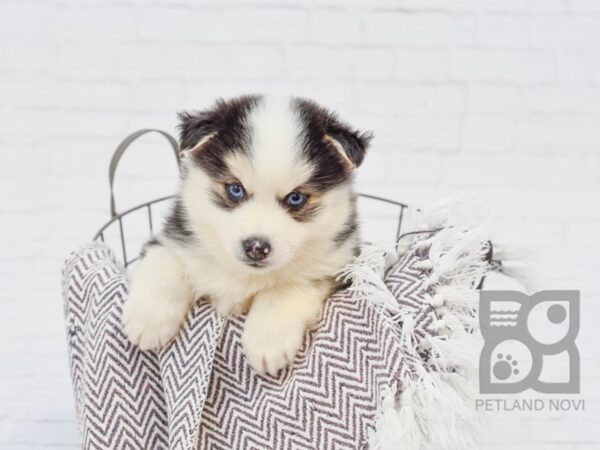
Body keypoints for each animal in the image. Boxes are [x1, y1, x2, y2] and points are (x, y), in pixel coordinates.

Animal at [122, 95, 370, 376]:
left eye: (296, 198)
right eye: (235, 189)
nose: (256, 247)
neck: (245, 276)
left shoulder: (338, 266)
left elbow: (289, 285)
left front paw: (267, 342)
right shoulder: (175, 234)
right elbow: (166, 259)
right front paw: (148, 319)